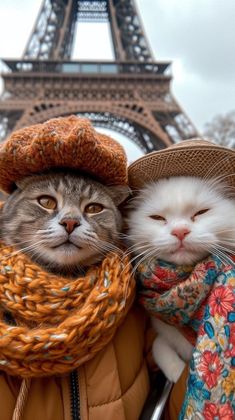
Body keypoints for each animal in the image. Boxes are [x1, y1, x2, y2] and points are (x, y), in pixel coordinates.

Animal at [127, 176, 235, 382]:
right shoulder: (162, 331)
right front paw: (177, 373)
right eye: (157, 218)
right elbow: (159, 346)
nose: (179, 231)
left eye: (202, 212)